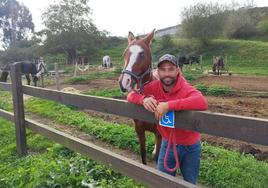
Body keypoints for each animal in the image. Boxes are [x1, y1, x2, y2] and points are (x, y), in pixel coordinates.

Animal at [118, 29, 161, 164]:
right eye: (125, 53)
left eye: (142, 54)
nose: (124, 82)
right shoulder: (139, 129)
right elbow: (143, 153)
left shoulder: (159, 132)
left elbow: (158, 158)